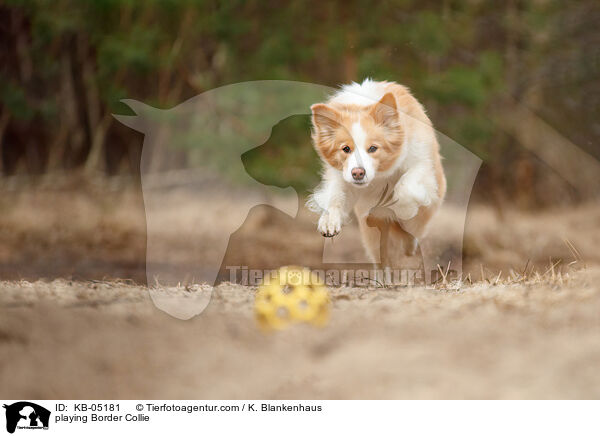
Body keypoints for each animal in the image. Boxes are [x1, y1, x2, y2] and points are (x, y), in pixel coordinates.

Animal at [310, 79, 446, 272]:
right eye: (346, 149)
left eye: (373, 148)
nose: (358, 173)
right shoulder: (341, 176)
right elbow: (336, 196)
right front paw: (329, 221)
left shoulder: (421, 164)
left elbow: (405, 188)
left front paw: (404, 210)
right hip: (372, 232)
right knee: (382, 258)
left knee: (412, 236)